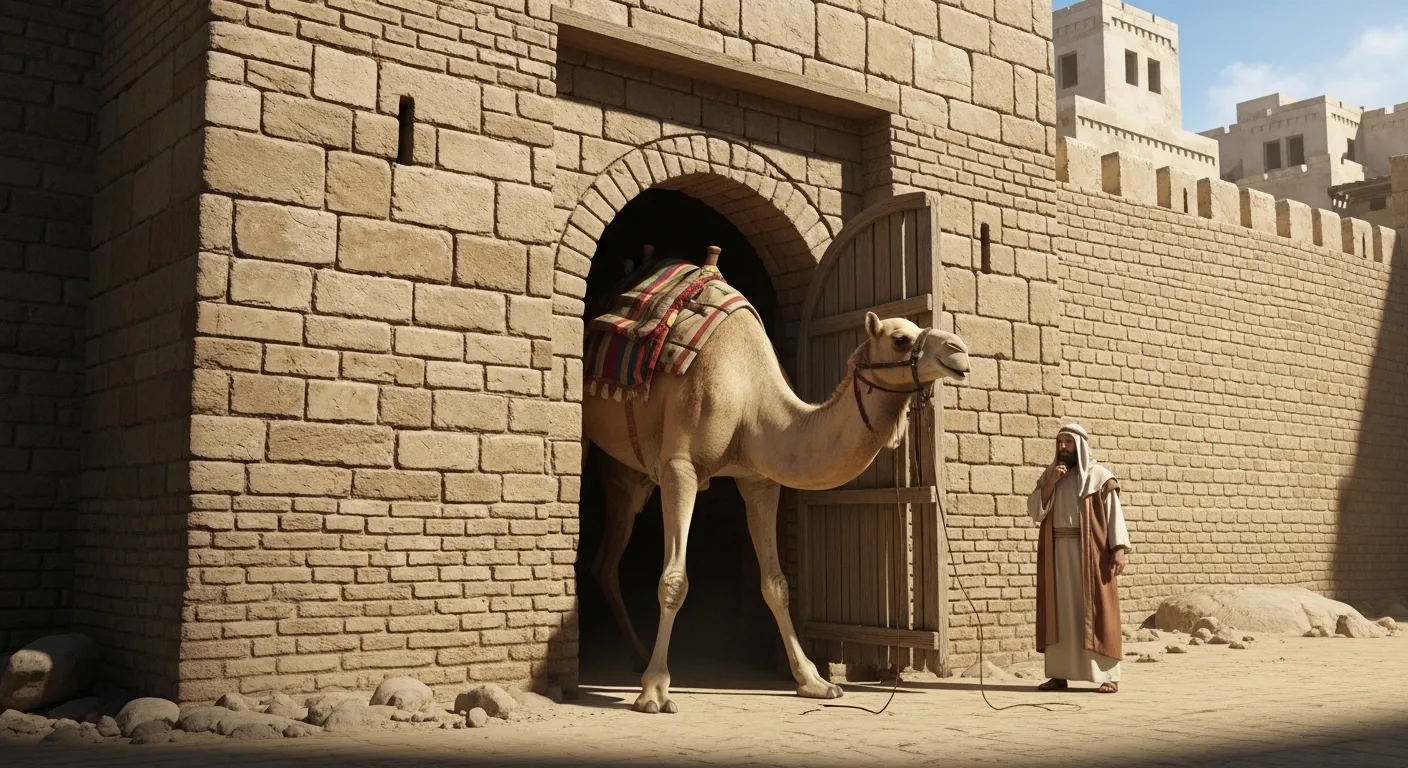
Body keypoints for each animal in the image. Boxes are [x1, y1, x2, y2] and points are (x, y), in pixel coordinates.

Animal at [582, 250, 971, 714]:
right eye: (900, 338)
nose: (960, 351)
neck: (749, 398)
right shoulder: (681, 467)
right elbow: (674, 580)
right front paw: (655, 692)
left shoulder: (760, 480)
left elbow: (777, 585)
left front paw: (815, 681)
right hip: (612, 464)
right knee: (607, 560)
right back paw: (643, 663)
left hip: (633, 475)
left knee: (606, 562)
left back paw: (639, 654)